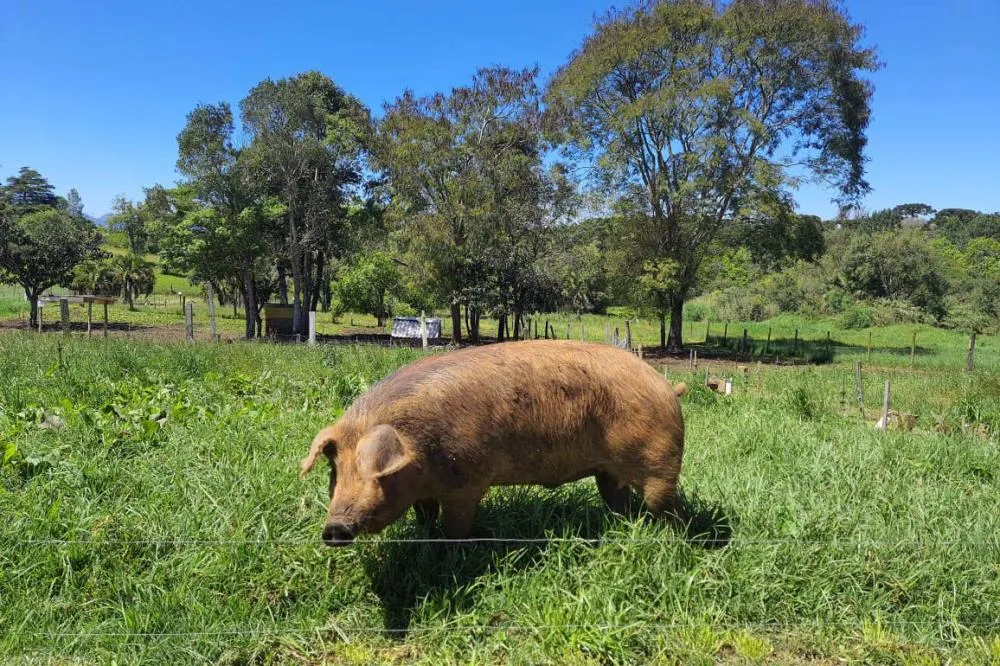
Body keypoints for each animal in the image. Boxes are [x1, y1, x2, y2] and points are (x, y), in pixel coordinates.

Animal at [300, 339, 687, 546]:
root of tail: (667, 386)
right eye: (335, 470)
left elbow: (456, 529)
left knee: (669, 507)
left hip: (660, 461)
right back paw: (623, 527)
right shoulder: (426, 489)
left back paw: (673, 541)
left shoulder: (467, 484)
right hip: (607, 472)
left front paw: (449, 552)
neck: (420, 452)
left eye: (376, 472)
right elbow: (425, 514)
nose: (334, 528)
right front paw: (424, 534)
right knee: (620, 501)